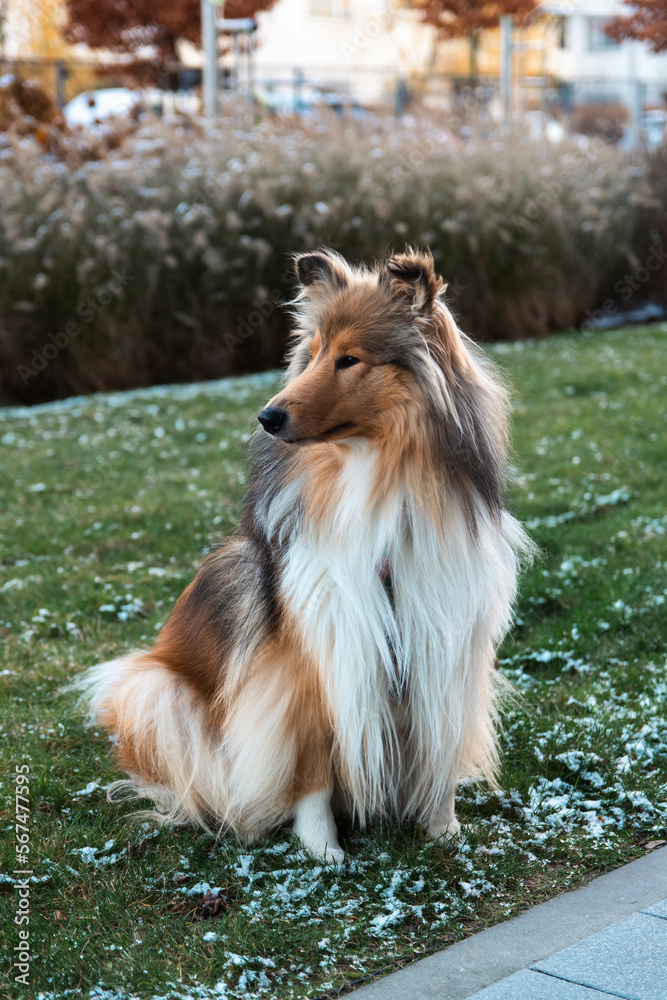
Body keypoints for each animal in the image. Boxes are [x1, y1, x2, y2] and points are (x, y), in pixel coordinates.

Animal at [73, 248, 528, 860]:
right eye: (309, 357)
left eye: (349, 359)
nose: (267, 417)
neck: (374, 477)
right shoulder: (309, 657)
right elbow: (313, 765)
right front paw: (323, 848)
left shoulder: (445, 642)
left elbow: (439, 746)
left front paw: (443, 827)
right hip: (154, 693)